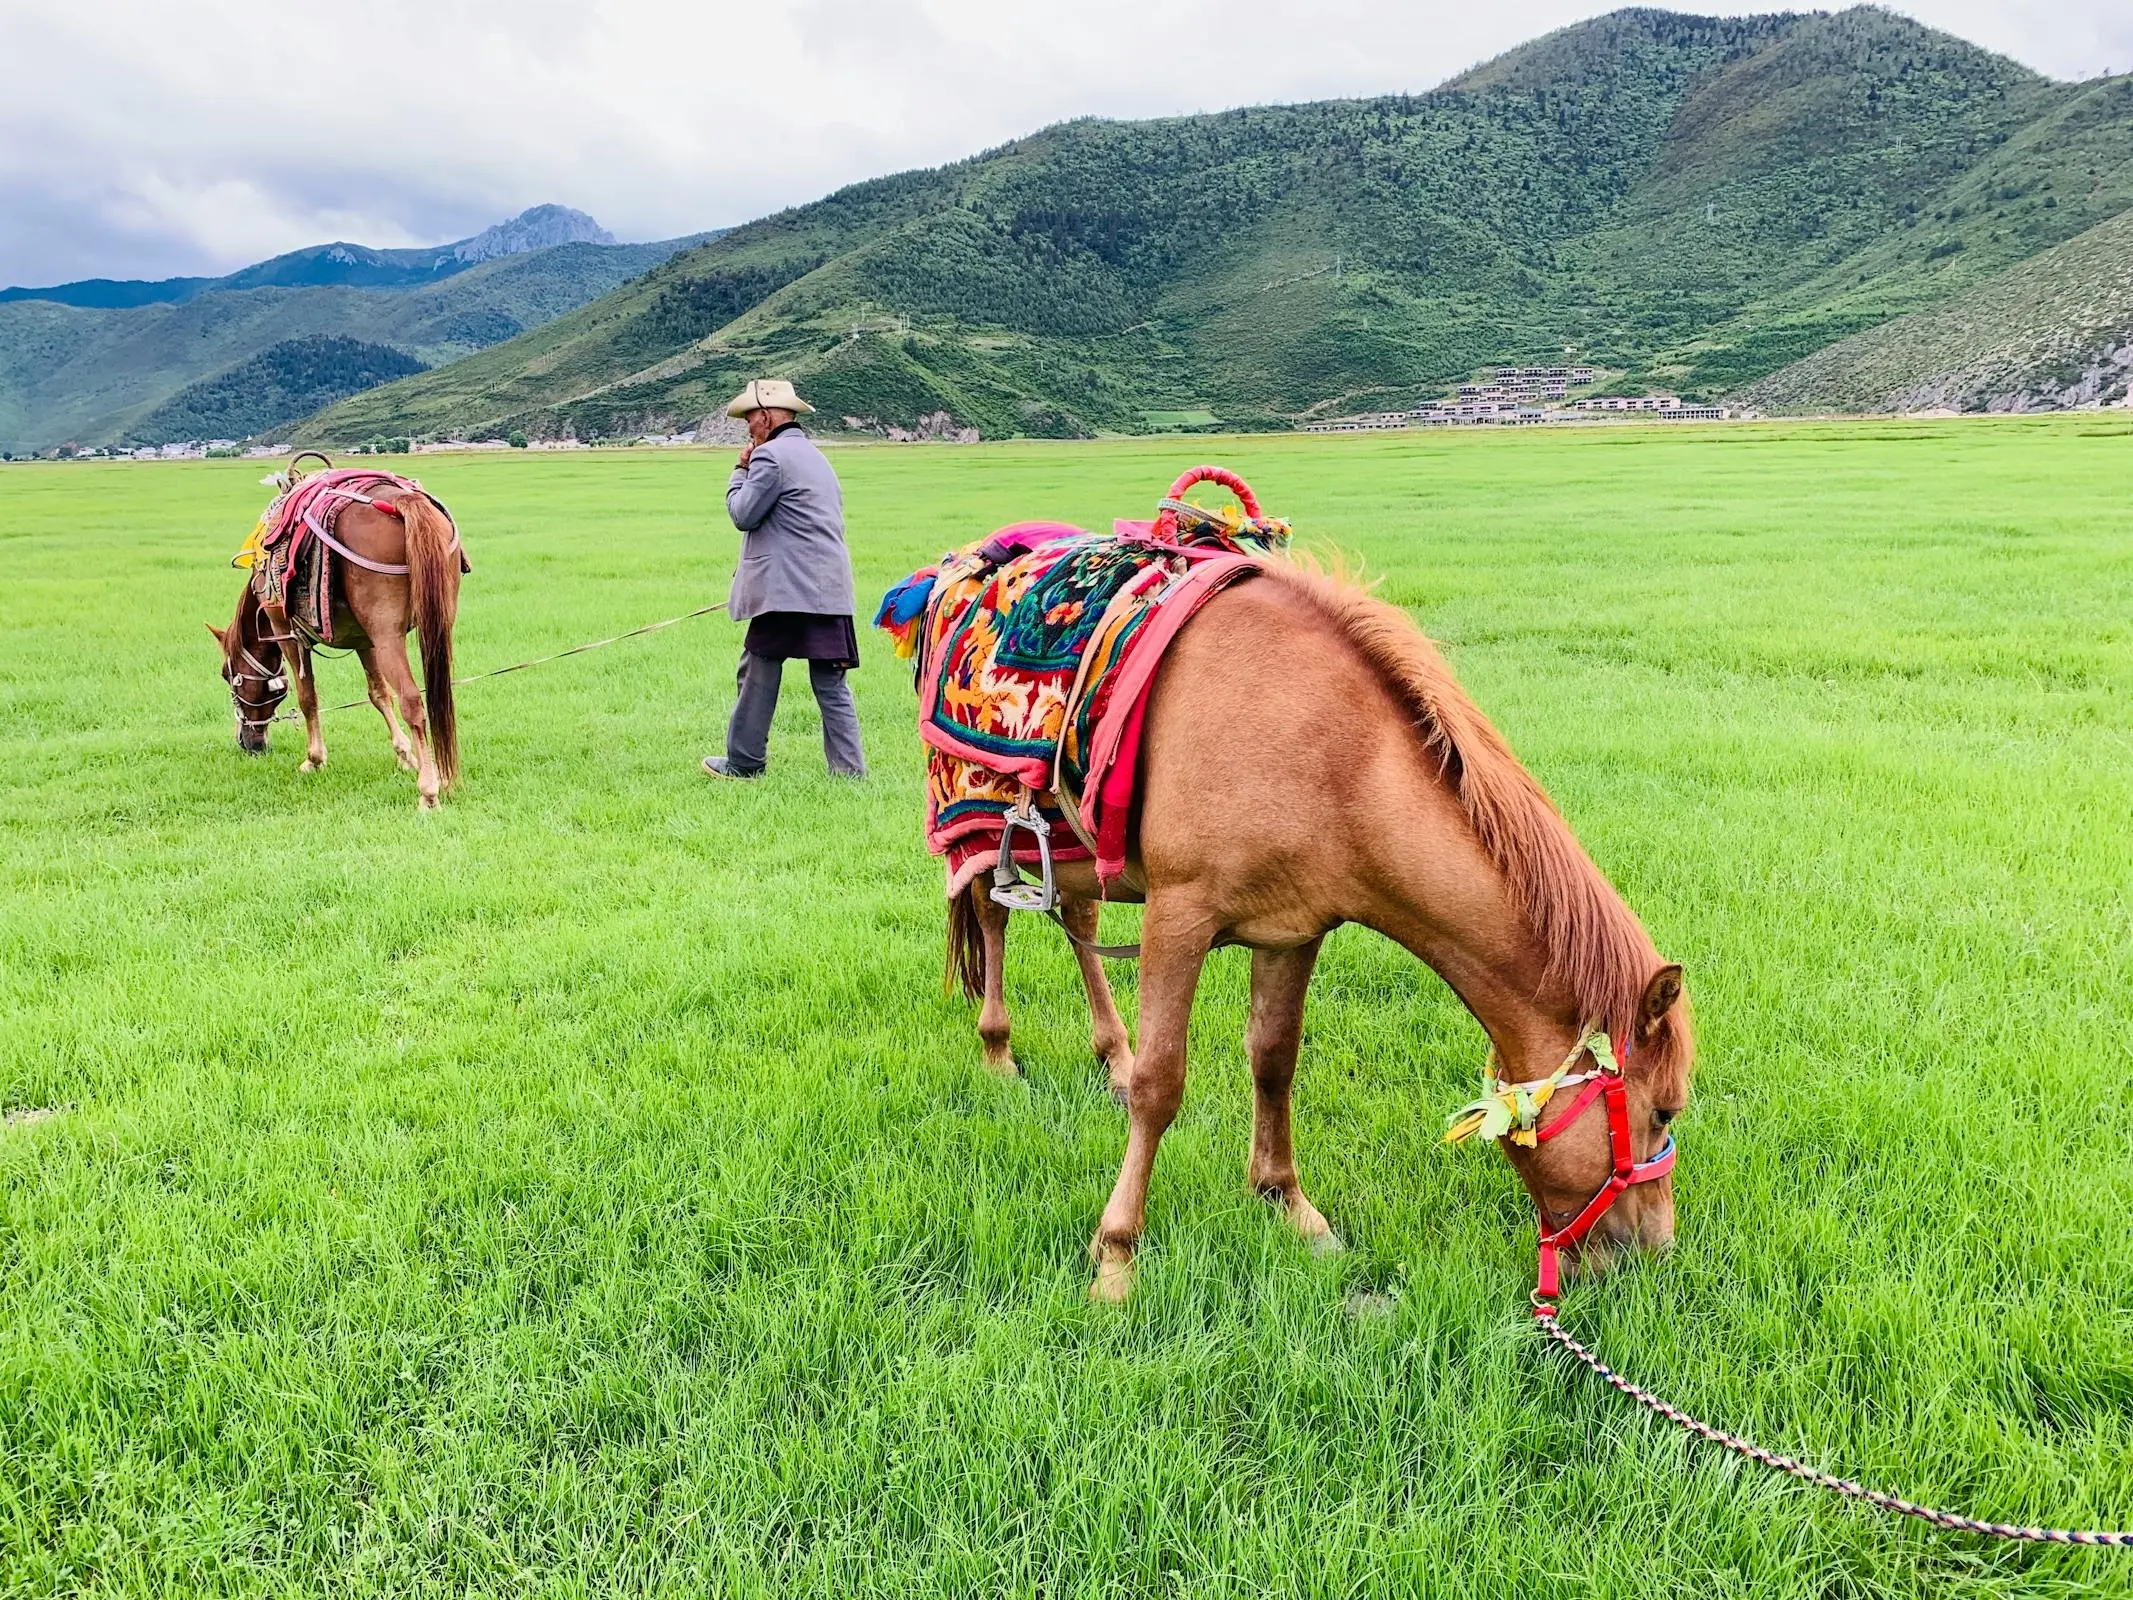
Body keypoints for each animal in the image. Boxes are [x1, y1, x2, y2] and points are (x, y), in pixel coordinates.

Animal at [210, 492, 460, 814]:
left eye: (227, 675)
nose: (247, 743)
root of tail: (402, 499)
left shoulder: (285, 630)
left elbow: (307, 697)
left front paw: (314, 759)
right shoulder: (364, 639)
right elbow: (378, 694)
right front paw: (405, 755)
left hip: (388, 635)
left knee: (412, 701)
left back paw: (428, 791)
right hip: (438, 623)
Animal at [951, 563, 1697, 1305]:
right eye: (1664, 1112)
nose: (1655, 1251)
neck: (1331, 753)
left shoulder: (1292, 931)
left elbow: (1274, 1061)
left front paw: (1288, 1206)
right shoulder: (1178, 916)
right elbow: (1160, 1087)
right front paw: (1116, 1257)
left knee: (1078, 924)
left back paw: (1111, 1057)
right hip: (983, 833)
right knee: (990, 914)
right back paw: (997, 1053)